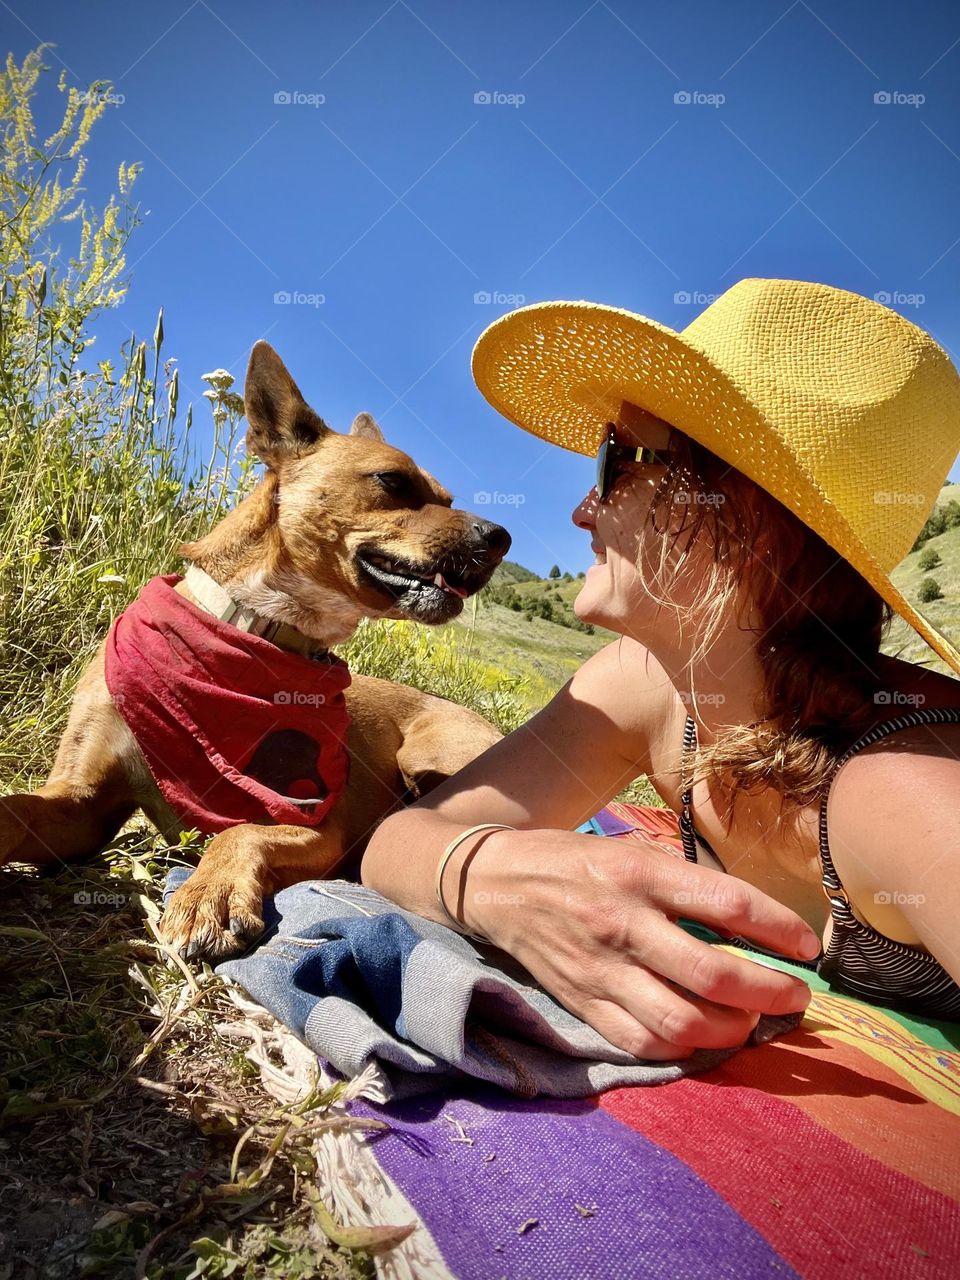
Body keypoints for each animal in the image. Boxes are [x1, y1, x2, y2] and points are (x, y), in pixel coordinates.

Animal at [0, 345, 512, 957]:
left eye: (448, 499)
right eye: (392, 480)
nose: (501, 538)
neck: (255, 629)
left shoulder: (314, 823)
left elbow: (244, 830)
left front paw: (210, 892)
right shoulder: (81, 801)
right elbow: (15, 808)